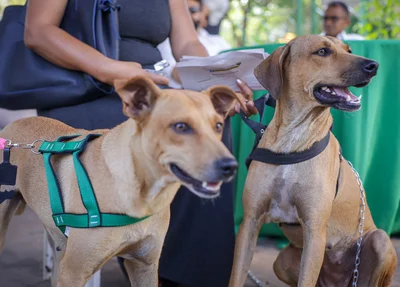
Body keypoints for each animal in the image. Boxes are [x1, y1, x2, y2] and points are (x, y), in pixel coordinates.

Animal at [0, 76, 241, 287]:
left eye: (218, 126)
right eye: (181, 126)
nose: (230, 166)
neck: (142, 197)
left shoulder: (145, 266)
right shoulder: (73, 273)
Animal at [228, 35, 396, 287]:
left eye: (349, 50)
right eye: (322, 52)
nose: (373, 65)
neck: (293, 138)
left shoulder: (315, 230)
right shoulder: (250, 222)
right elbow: (236, 275)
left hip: (380, 240)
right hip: (282, 260)